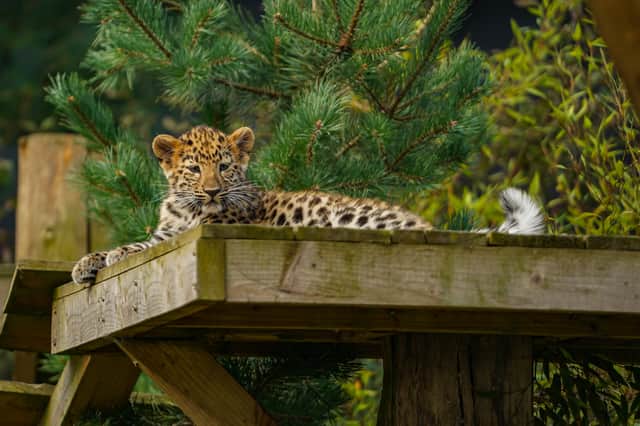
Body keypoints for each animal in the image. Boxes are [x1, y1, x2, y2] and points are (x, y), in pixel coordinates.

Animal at [71, 125, 544, 284]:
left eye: (224, 167)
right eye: (192, 169)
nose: (212, 192)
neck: (186, 209)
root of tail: (426, 227)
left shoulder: (190, 234)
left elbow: (138, 248)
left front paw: (108, 256)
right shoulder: (170, 231)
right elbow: (140, 243)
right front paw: (86, 262)